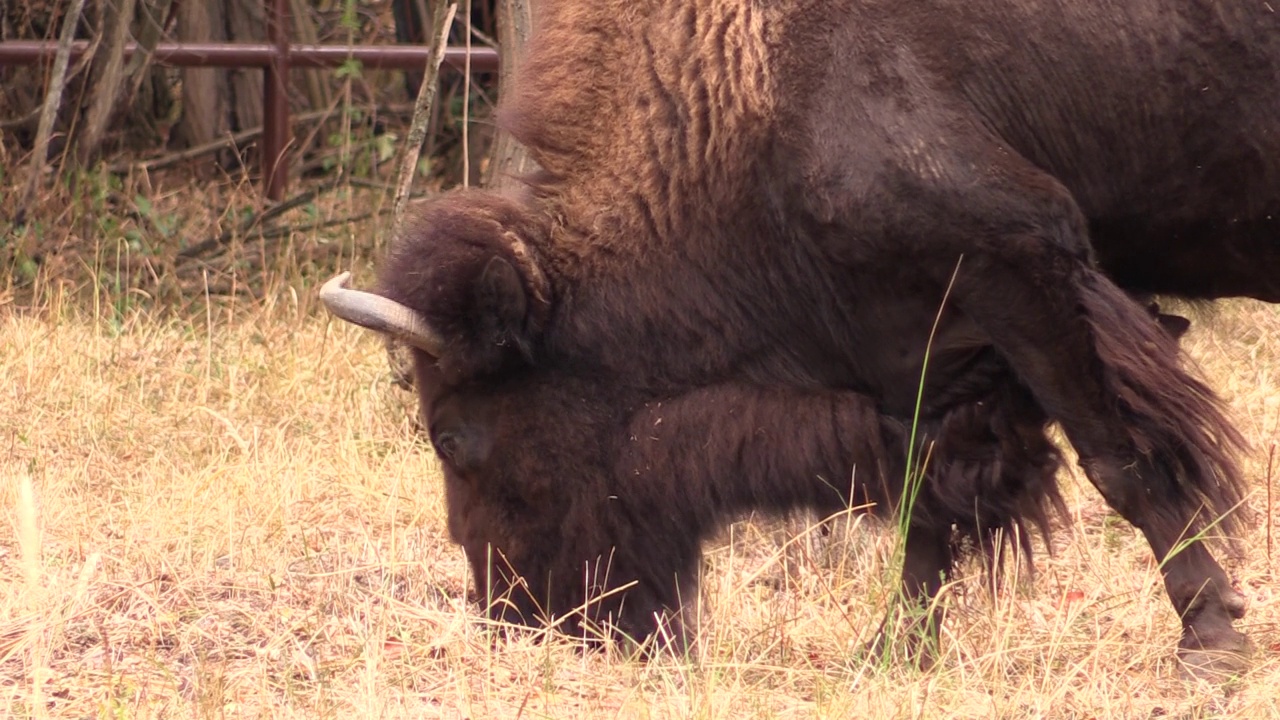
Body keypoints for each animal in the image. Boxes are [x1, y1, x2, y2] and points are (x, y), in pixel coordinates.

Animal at [320, 0, 1269, 671]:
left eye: (450, 436)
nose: (522, 620)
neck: (751, 89)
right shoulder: (922, 356)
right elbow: (930, 500)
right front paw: (891, 653)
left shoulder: (1019, 269)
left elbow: (1120, 459)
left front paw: (1210, 643)